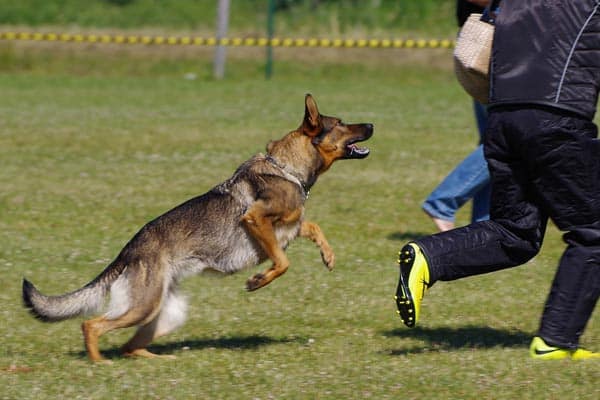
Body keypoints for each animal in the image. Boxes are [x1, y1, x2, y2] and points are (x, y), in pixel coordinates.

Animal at [22, 94, 376, 362]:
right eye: (341, 123)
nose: (372, 124)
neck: (287, 167)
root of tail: (128, 251)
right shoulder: (257, 220)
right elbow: (282, 262)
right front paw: (258, 281)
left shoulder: (289, 226)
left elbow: (312, 227)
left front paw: (328, 256)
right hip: (143, 306)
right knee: (92, 326)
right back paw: (99, 364)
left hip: (164, 313)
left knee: (129, 347)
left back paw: (160, 361)